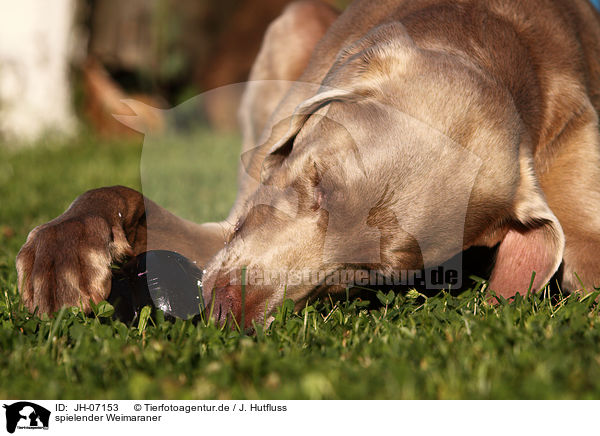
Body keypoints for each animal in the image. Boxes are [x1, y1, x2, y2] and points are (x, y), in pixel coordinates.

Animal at [14, 0, 600, 328]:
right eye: (317, 183)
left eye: (372, 273)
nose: (227, 310)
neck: (506, 40)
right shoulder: (237, 224)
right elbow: (124, 197)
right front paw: (64, 256)